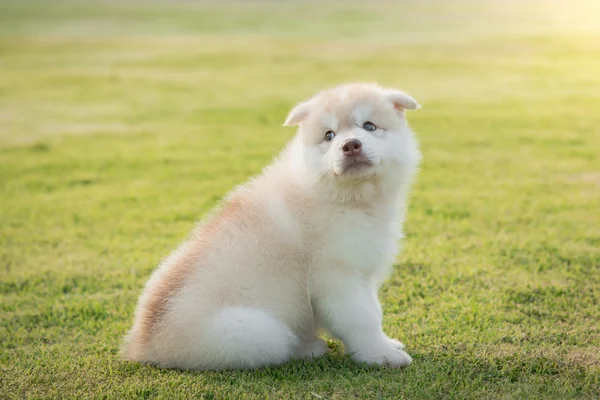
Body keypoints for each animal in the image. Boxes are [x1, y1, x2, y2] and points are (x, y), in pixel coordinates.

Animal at [120, 83, 422, 370]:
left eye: (369, 126)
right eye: (329, 135)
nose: (350, 145)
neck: (347, 199)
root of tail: (143, 345)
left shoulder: (363, 273)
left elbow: (374, 310)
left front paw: (386, 344)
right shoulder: (336, 277)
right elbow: (362, 318)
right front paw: (380, 355)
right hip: (254, 330)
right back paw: (307, 347)